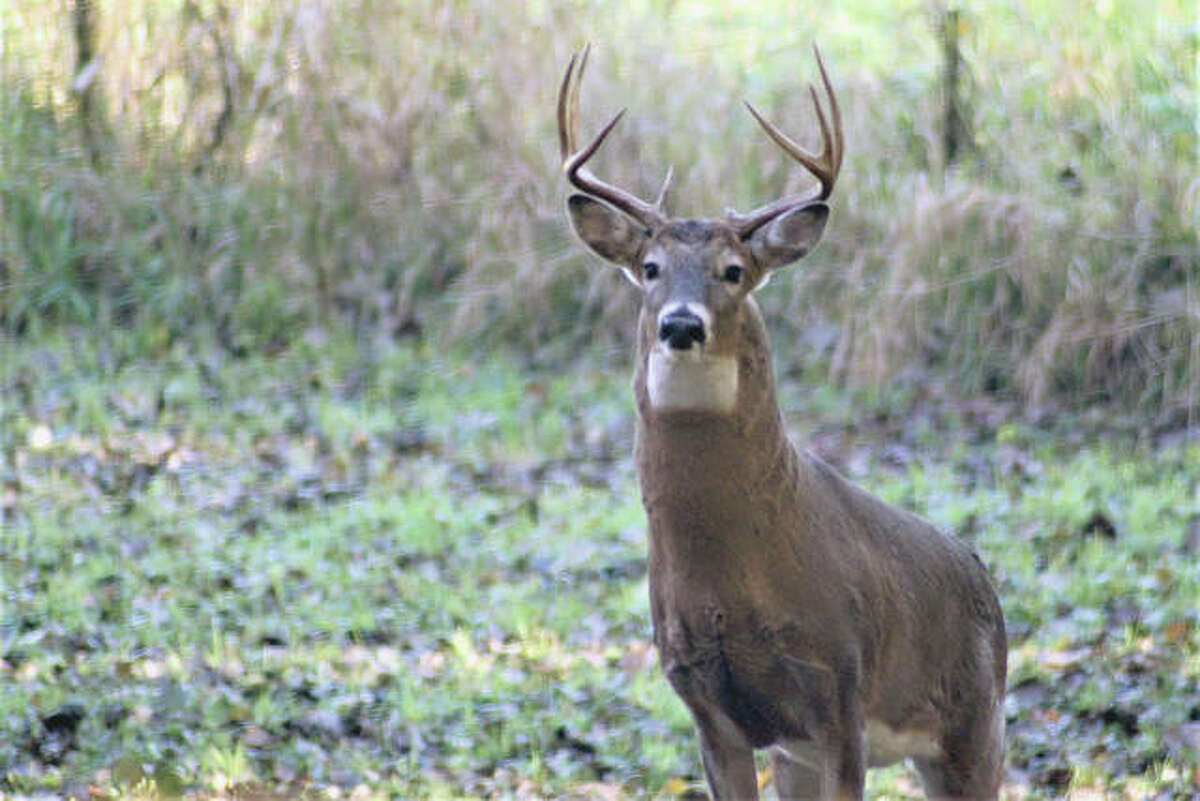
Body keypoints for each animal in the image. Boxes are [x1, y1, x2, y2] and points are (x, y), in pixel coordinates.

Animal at [557, 45, 1007, 801]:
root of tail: (988, 584)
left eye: (734, 270)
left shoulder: (839, 688)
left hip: (973, 721)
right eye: (649, 267)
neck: (731, 573)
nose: (682, 324)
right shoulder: (709, 705)